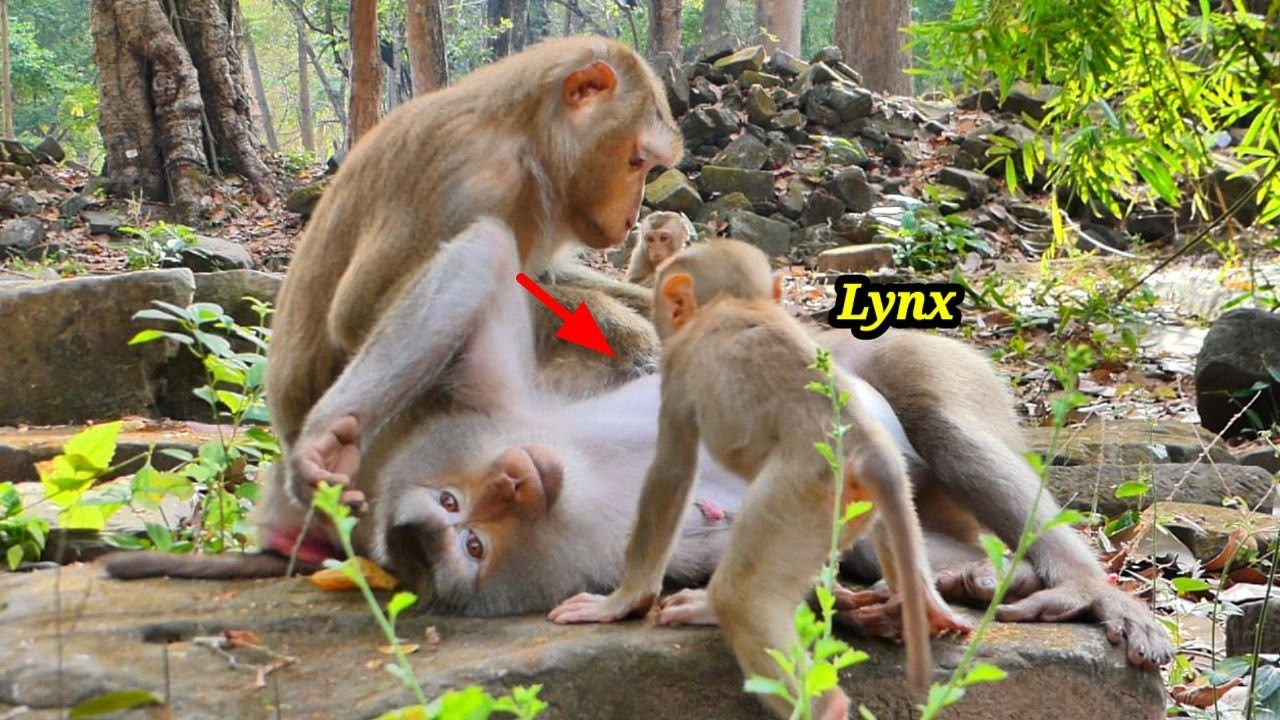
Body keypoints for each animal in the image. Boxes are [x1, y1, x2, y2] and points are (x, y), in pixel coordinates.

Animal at [548, 241, 972, 717]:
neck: (740, 303)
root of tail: (867, 452)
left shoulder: (678, 367)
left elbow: (672, 471)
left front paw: (623, 600)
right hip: (854, 499)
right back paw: (925, 600)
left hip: (802, 497)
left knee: (742, 598)